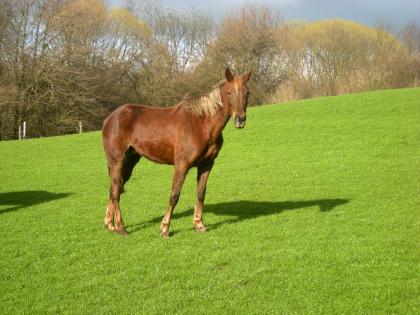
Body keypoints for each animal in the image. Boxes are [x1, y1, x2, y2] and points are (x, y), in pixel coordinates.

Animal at [101, 68, 253, 237]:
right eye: (229, 92)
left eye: (247, 92)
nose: (240, 120)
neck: (201, 124)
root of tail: (110, 118)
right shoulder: (182, 165)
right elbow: (174, 195)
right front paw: (165, 228)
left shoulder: (206, 165)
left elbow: (201, 194)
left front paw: (199, 224)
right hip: (117, 161)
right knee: (115, 191)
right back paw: (121, 227)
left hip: (129, 162)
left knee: (115, 189)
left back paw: (110, 224)